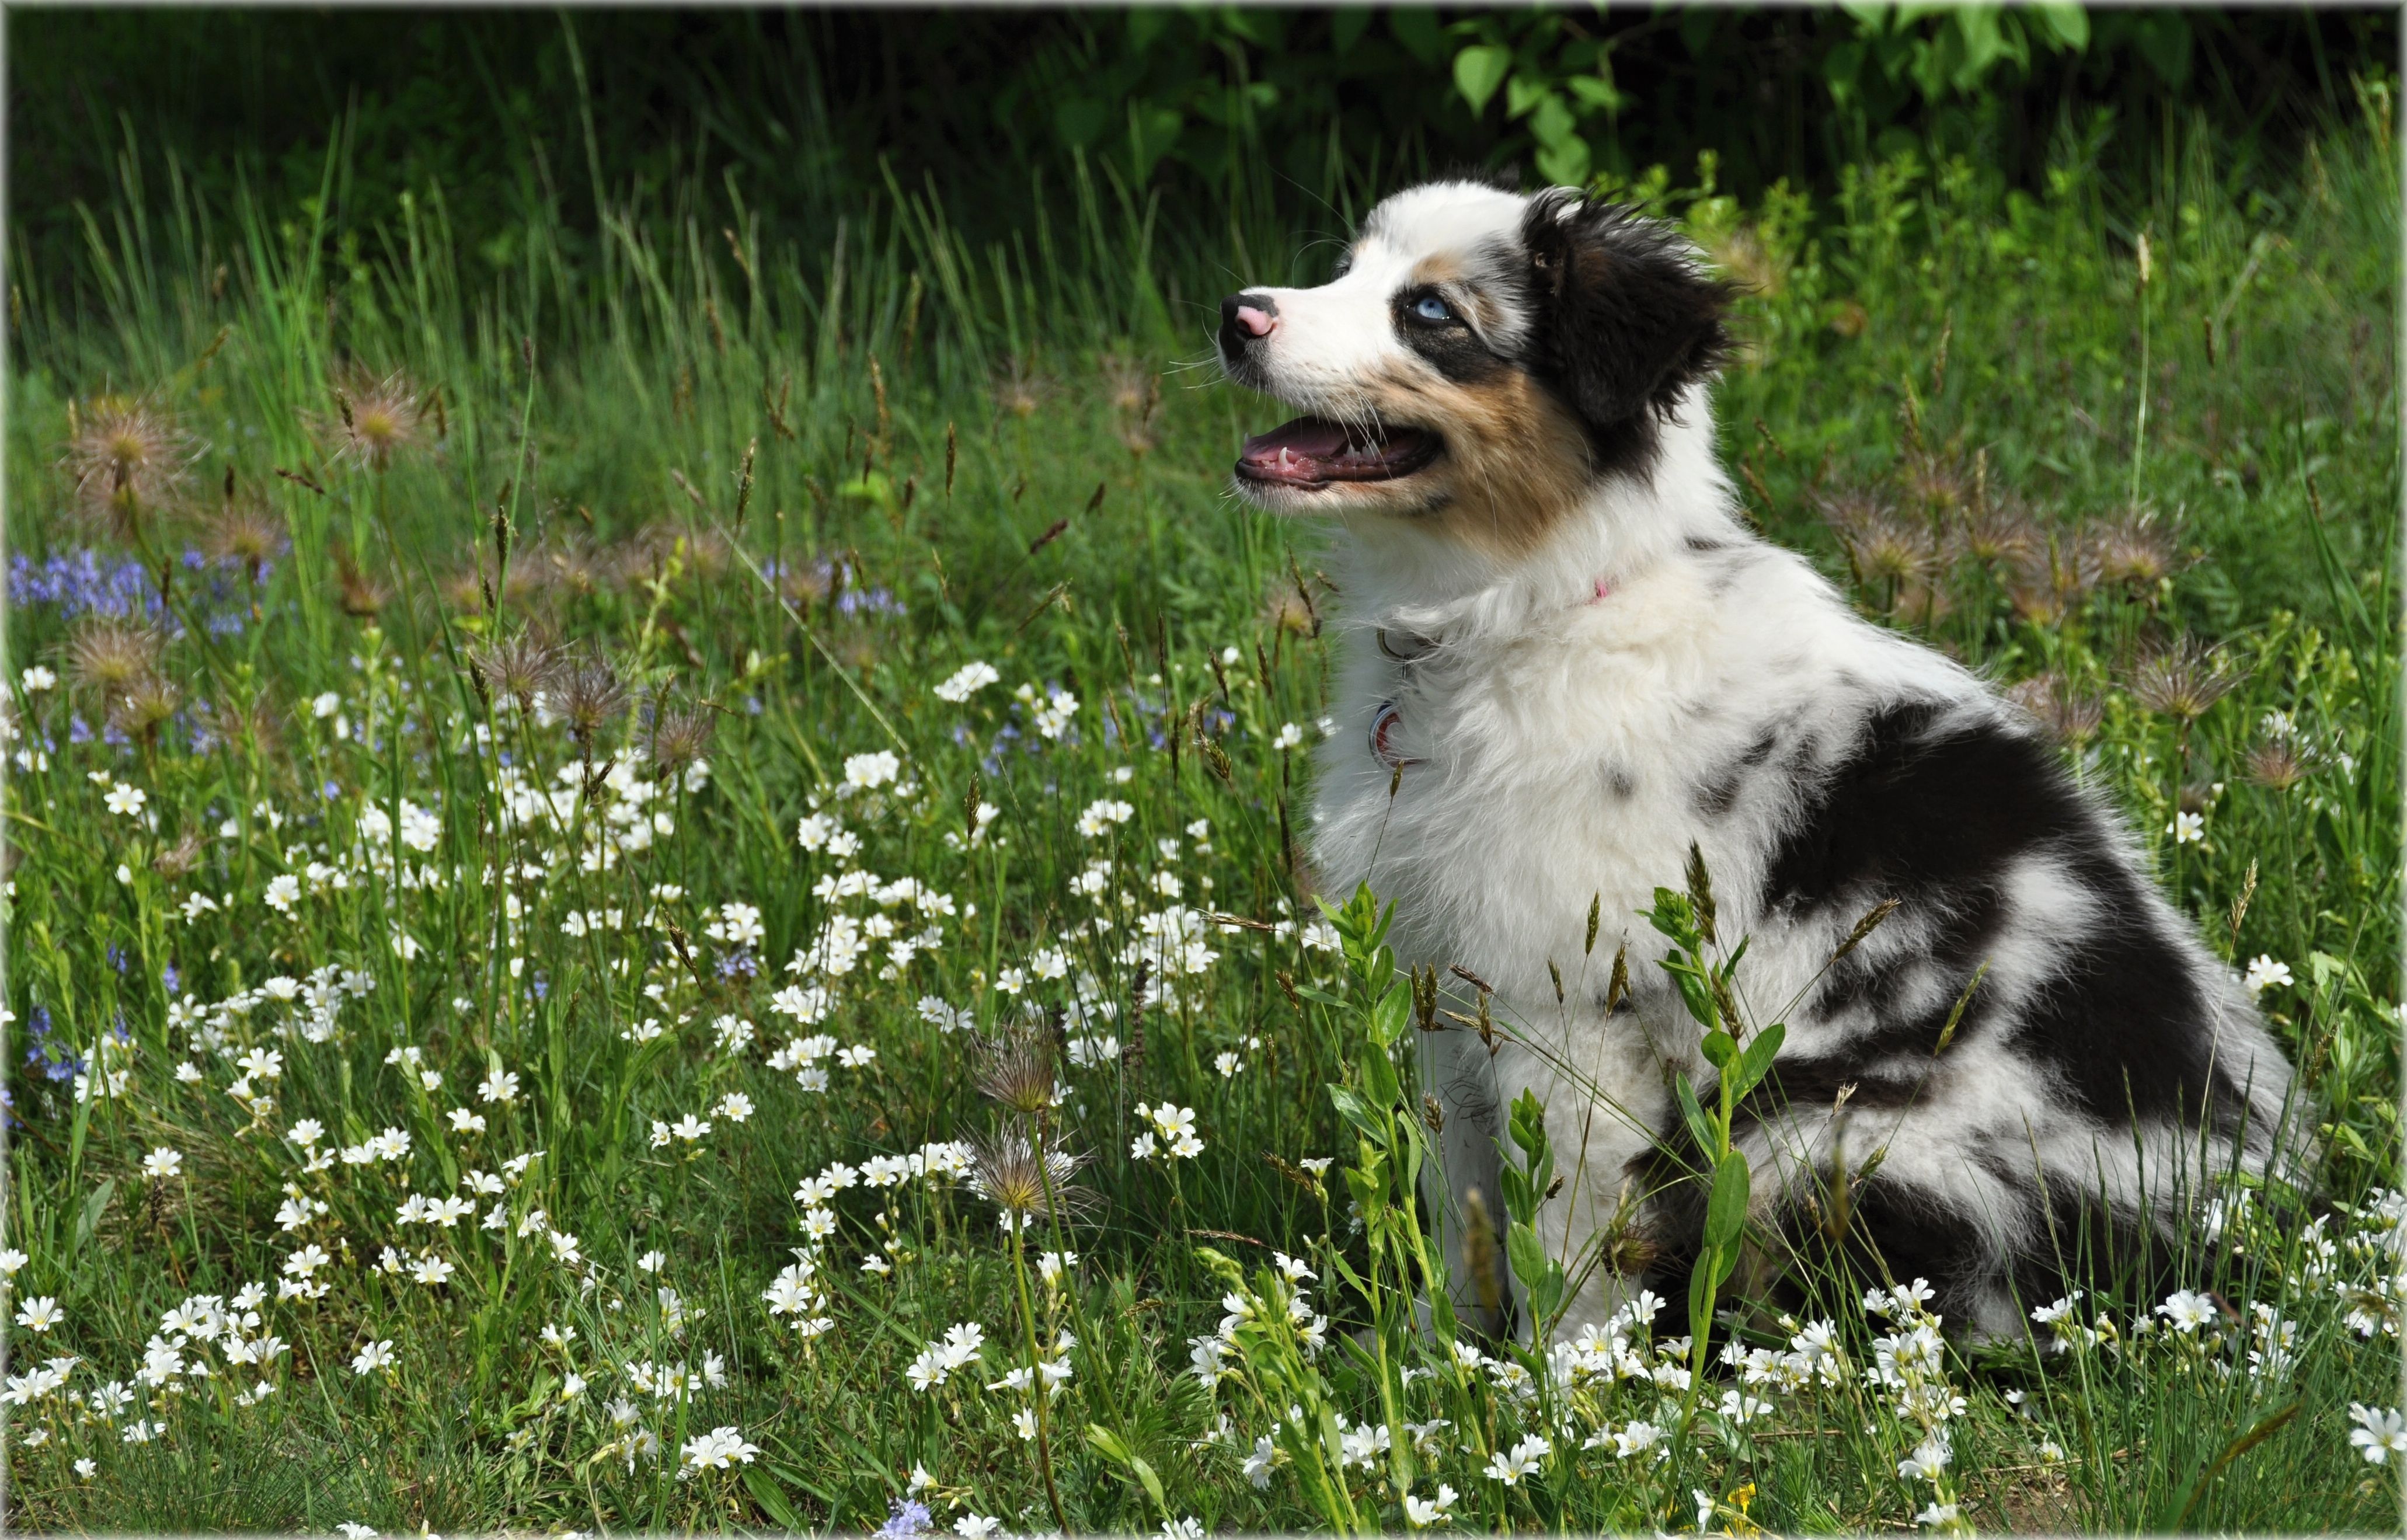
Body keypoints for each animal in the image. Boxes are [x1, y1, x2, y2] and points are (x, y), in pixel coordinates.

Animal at [1213, 178, 2301, 1337]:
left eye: (1430, 314)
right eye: (1346, 269)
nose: (1235, 315)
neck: (1533, 607)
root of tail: (2224, 1239)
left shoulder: (1569, 1014)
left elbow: (1563, 1230)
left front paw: (1566, 1370)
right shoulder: (1450, 991)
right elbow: (1460, 1199)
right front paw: (1435, 1351)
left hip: (1811, 1133)